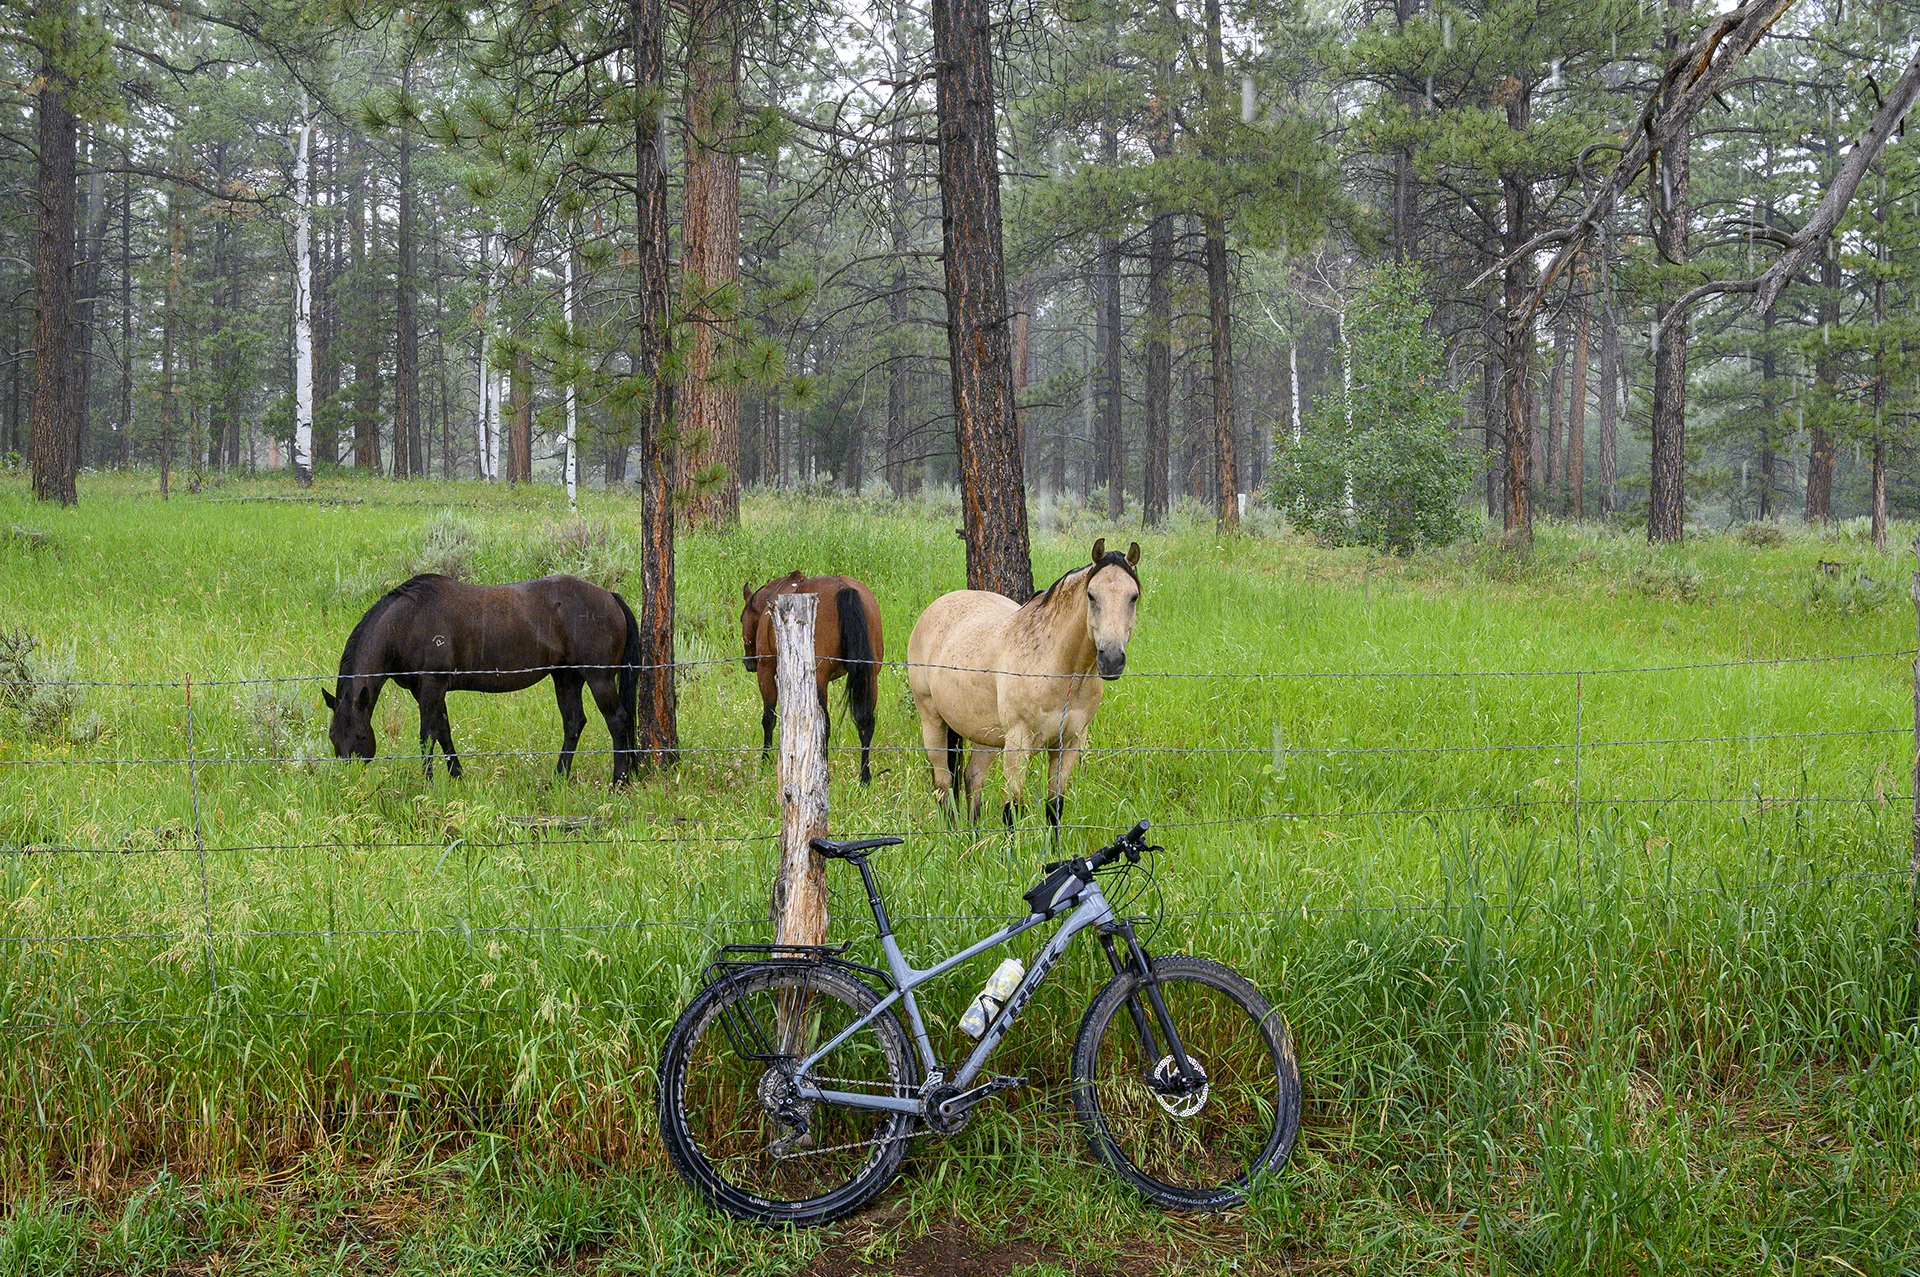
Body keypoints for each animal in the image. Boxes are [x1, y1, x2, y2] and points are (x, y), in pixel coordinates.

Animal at [324, 573, 640, 784]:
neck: (407, 621)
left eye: (361, 736)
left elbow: (427, 736)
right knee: (574, 722)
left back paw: (618, 780)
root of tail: (610, 596)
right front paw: (457, 777)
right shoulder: (428, 690)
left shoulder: (432, 685)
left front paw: (428, 783)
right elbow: (443, 732)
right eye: (333, 738)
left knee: (617, 720)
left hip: (598, 678)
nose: (348, 779)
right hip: (566, 677)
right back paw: (558, 778)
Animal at [742, 572, 884, 785]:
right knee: (865, 724)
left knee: (823, 726)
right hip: (869, 676)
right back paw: (864, 778)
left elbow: (769, 719)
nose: (748, 663)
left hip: (819, 682)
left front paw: (765, 762)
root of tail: (844, 588)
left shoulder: (767, 671)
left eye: (741, 618)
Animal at [906, 538, 1141, 828]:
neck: (1061, 672)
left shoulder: (1069, 744)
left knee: (972, 779)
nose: (1111, 659)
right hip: (932, 721)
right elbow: (1012, 810)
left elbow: (1054, 809)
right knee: (944, 785)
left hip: (984, 735)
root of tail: (935, 607)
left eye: (1133, 596)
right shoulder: (1018, 743)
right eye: (1091, 595)